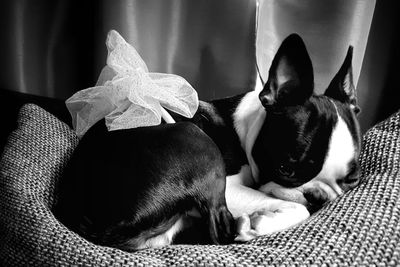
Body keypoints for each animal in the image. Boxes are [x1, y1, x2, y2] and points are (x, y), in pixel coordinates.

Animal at [54, 34, 360, 251]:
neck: (248, 127)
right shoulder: (232, 187)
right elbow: (299, 209)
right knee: (219, 230)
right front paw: (263, 222)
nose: (319, 197)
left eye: (353, 180)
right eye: (286, 169)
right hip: (198, 142)